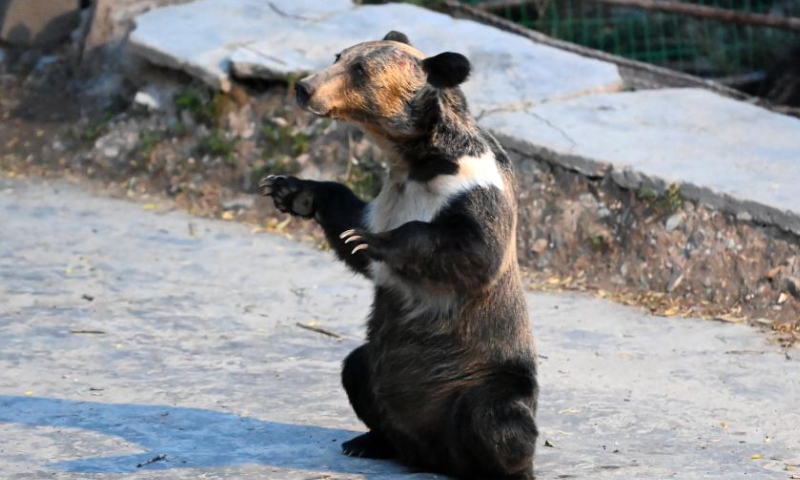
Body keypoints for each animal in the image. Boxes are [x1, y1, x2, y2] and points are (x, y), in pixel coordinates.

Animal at [260, 31, 540, 480]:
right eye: (339, 56)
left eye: (360, 70)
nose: (304, 87)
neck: (417, 161)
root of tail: (436, 455)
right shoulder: (390, 195)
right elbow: (346, 215)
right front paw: (288, 188)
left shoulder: (473, 192)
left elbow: (473, 250)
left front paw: (370, 240)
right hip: (383, 369)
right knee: (356, 369)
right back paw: (368, 442)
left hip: (484, 375)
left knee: (501, 418)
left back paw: (503, 469)